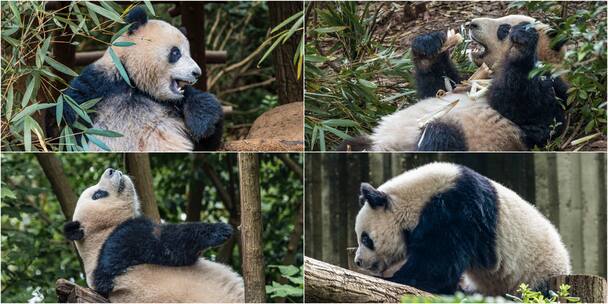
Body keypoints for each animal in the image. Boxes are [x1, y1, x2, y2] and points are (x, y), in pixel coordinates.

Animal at [61, 167, 242, 302]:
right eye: (98, 195)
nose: (110, 170)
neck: (101, 232)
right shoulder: (119, 243)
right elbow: (169, 245)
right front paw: (221, 229)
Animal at [63, 7, 223, 152]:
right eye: (176, 52)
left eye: (189, 53)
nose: (197, 73)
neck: (135, 83)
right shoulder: (98, 84)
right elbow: (71, 122)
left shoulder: (175, 104)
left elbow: (206, 139)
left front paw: (201, 122)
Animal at [340, 15, 568, 151]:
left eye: (503, 29)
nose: (472, 24)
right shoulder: (464, 81)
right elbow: (437, 87)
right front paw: (429, 46)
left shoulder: (554, 91)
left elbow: (527, 110)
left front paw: (521, 42)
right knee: (348, 144)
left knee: (440, 138)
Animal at [354, 163, 572, 296]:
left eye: (365, 239)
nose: (358, 261)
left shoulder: (456, 211)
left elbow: (437, 264)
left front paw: (395, 278)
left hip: (536, 276)